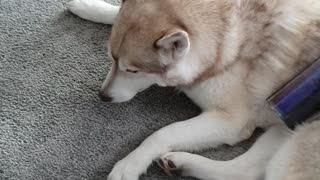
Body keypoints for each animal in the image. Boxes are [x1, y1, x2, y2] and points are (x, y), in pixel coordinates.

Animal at [67, 0, 320, 179]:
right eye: (111, 57)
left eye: (133, 71)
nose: (103, 96)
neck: (227, 43)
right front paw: (91, 7)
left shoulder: (230, 121)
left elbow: (164, 133)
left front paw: (132, 162)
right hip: (286, 131)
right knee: (245, 170)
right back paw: (181, 164)